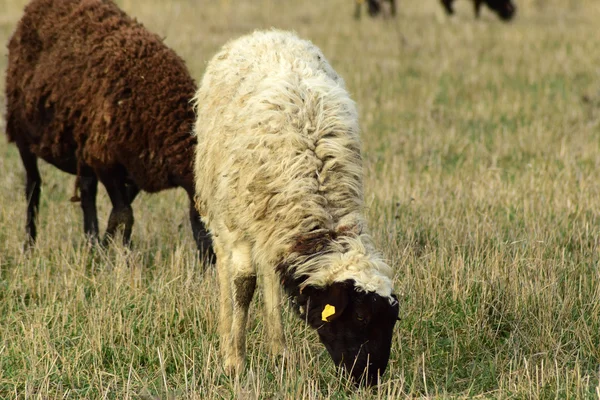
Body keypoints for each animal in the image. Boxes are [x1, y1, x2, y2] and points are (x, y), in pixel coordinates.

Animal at [4, 0, 214, 262]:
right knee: (33, 187)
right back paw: (30, 246)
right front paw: (114, 258)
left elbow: (120, 212)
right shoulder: (105, 161)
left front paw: (109, 250)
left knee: (86, 192)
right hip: (23, 135)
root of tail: (33, 9)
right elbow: (124, 214)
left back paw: (90, 241)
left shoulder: (136, 170)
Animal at [192, 29, 398, 386]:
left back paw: (279, 350)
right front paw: (234, 362)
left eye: (391, 322)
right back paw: (225, 334)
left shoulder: (276, 222)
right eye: (359, 316)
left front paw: (277, 355)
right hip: (218, 202)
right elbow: (243, 286)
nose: (368, 380)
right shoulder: (241, 222)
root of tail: (264, 33)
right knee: (224, 268)